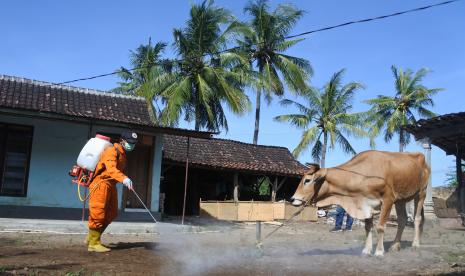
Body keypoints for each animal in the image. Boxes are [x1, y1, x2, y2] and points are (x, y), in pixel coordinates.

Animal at [292, 151, 430, 256]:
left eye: (307, 180)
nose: (293, 199)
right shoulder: (366, 204)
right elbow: (368, 227)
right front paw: (366, 250)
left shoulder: (388, 199)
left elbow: (380, 227)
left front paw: (379, 251)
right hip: (400, 200)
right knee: (402, 219)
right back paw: (395, 245)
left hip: (421, 193)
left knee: (417, 218)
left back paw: (415, 244)